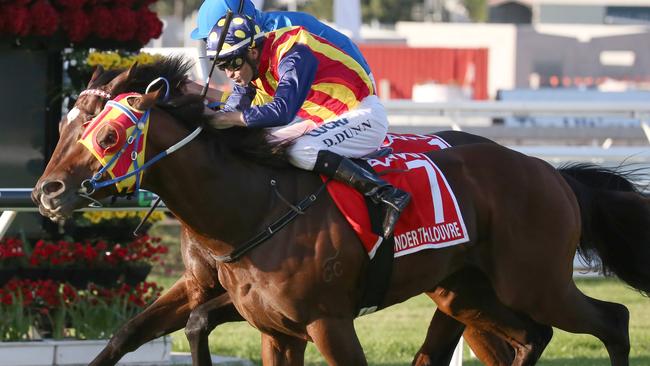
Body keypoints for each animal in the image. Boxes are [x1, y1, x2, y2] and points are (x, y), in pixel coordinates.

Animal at [38, 58, 644, 364]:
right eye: (66, 125)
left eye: (109, 135)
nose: (47, 191)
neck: (252, 209)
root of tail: (552, 173)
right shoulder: (259, 319)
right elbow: (131, 333)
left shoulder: (327, 321)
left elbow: (195, 323)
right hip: (466, 291)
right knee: (527, 338)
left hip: (534, 282)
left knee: (613, 320)